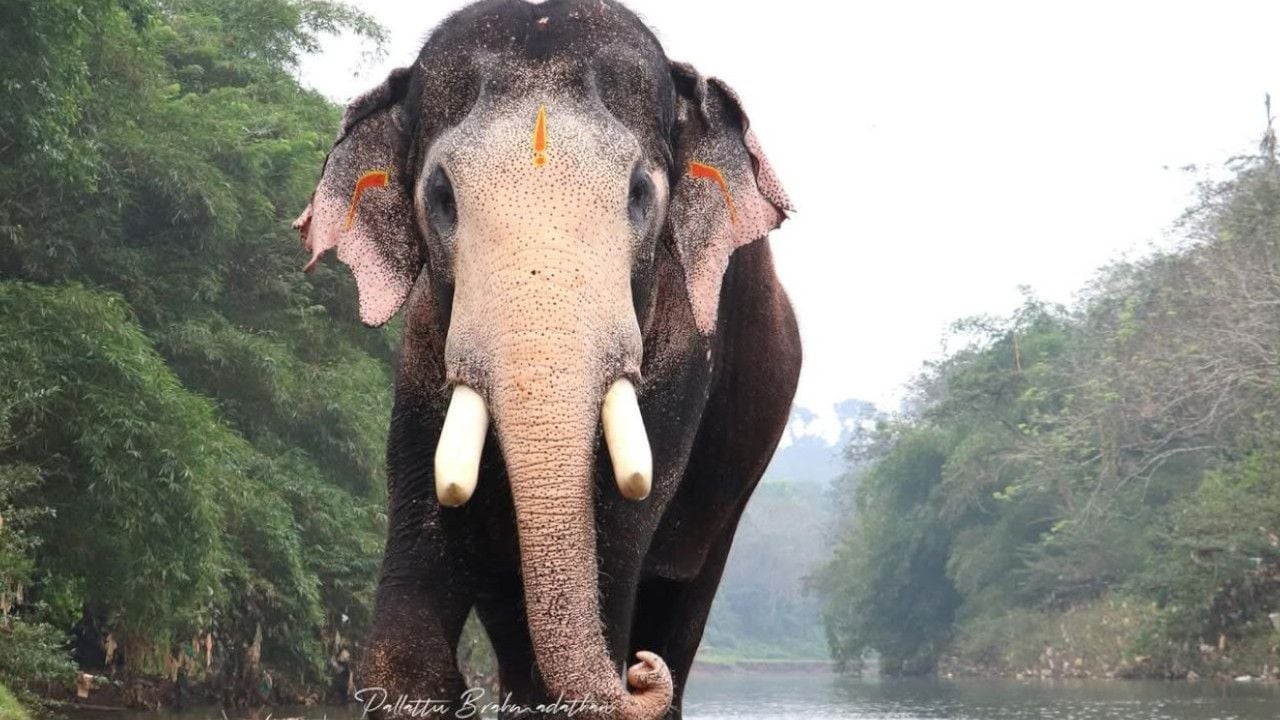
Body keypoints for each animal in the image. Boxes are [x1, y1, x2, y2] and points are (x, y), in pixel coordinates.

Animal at [293, 1, 801, 717]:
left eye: (640, 192)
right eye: (442, 196)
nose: (639, 673)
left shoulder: (685, 348)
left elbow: (618, 544)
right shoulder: (421, 348)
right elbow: (407, 645)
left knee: (680, 601)